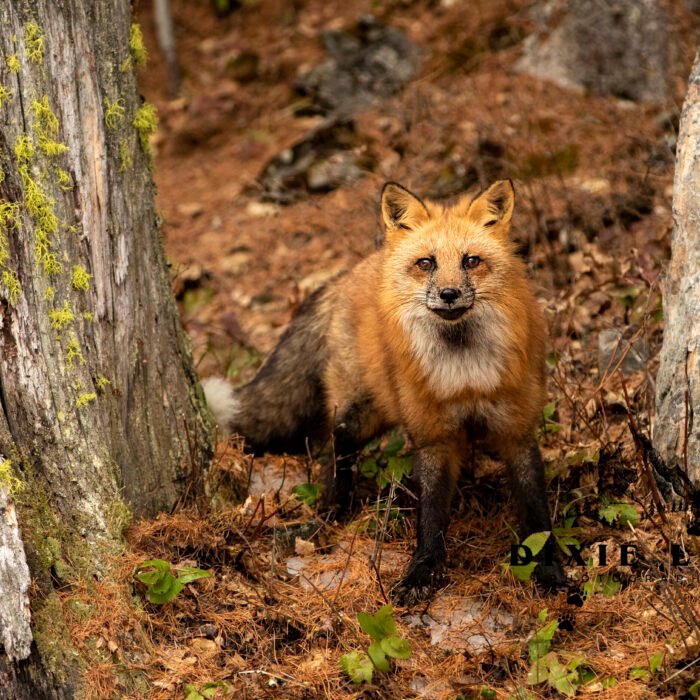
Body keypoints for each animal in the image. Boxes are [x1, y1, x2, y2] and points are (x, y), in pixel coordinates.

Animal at [203, 179, 566, 603]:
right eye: (426, 263)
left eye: (471, 261)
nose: (448, 294)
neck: (464, 375)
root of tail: (351, 272)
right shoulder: (433, 438)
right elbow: (431, 517)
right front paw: (422, 572)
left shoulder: (517, 431)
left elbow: (537, 514)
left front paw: (551, 571)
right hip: (362, 410)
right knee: (336, 444)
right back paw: (333, 509)